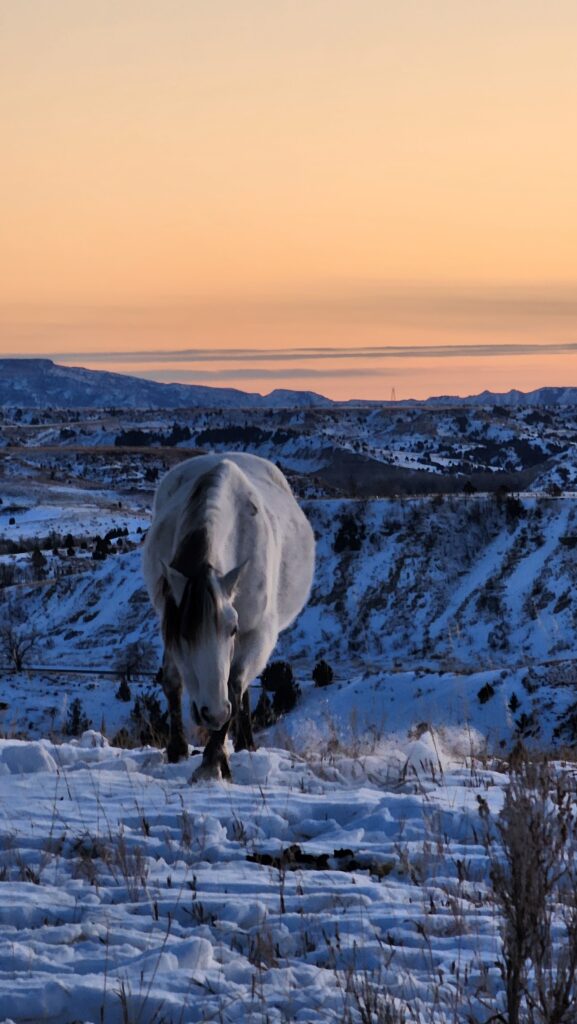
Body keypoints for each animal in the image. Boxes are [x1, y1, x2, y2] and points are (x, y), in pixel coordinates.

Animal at [143, 452, 315, 778]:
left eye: (232, 629)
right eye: (182, 634)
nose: (213, 713)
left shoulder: (258, 632)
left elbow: (234, 684)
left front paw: (213, 759)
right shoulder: (168, 616)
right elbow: (173, 681)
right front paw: (177, 749)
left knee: (241, 685)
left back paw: (245, 742)